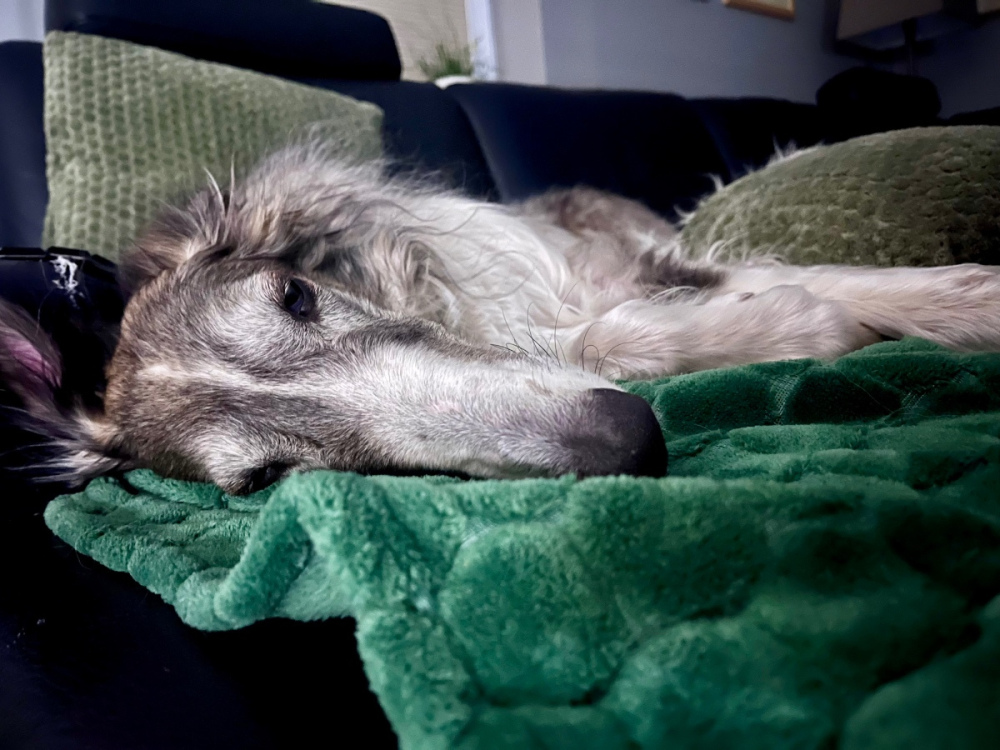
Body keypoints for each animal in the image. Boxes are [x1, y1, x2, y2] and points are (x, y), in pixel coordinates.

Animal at [1, 143, 999, 494]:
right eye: (267, 477)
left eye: (297, 296)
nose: (629, 440)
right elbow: (621, 334)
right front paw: (798, 328)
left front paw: (968, 299)